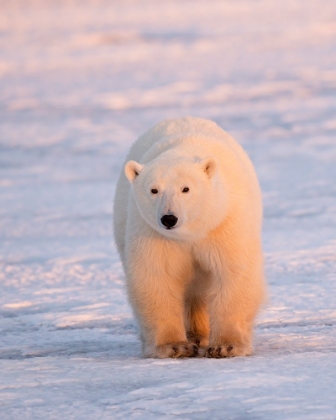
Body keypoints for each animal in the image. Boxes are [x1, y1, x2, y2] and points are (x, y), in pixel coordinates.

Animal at [114, 117, 266, 358]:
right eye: (154, 190)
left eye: (185, 189)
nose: (169, 218)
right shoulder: (153, 233)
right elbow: (157, 276)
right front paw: (174, 346)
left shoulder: (224, 223)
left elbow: (232, 272)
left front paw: (226, 346)